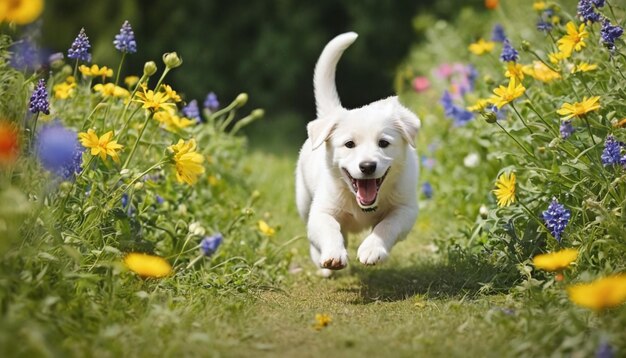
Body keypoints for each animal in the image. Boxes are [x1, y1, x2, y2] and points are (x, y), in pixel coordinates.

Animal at [294, 32, 422, 274]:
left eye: (383, 143)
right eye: (349, 144)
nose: (367, 166)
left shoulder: (405, 209)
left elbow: (387, 225)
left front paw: (372, 249)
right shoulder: (323, 209)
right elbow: (328, 227)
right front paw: (333, 255)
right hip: (304, 200)